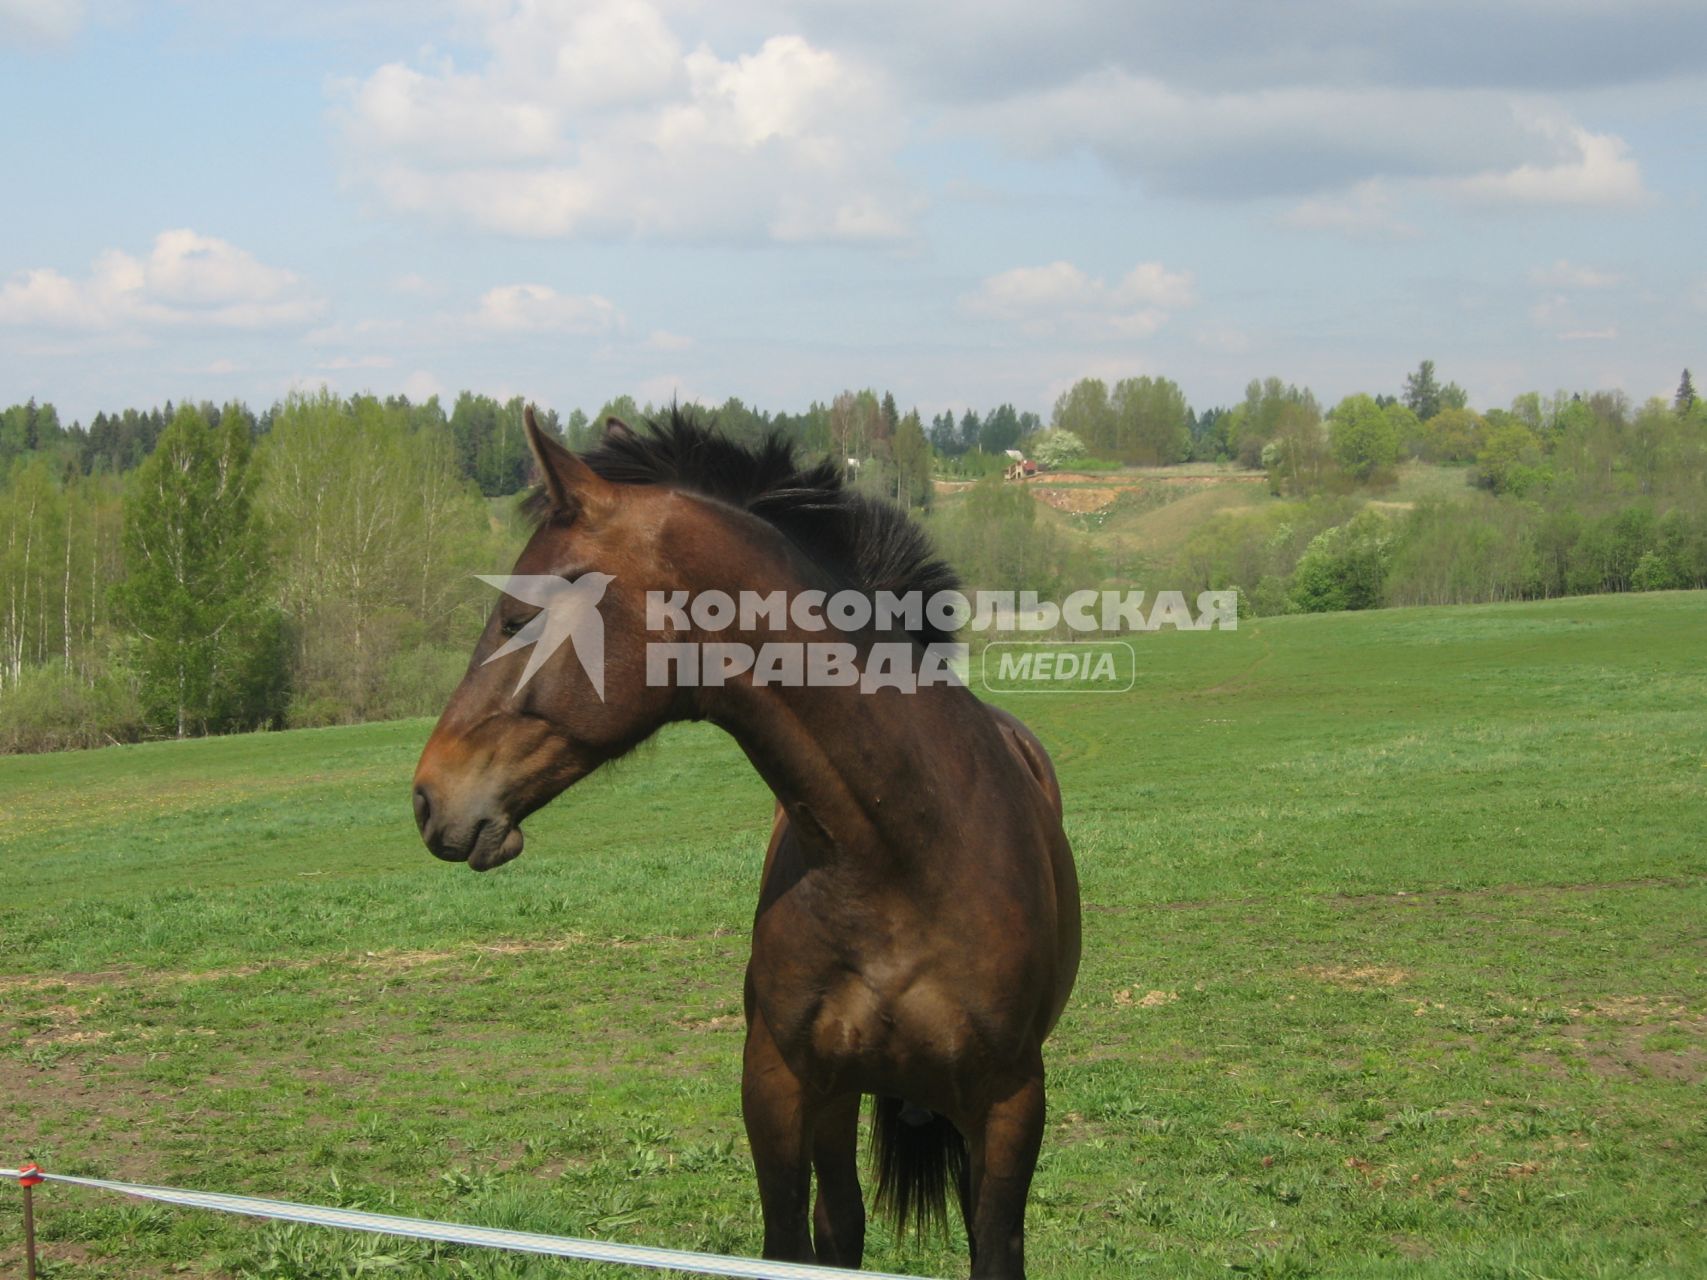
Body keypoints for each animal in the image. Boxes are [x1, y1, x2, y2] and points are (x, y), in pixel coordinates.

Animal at [414, 411, 1078, 1280]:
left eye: (519, 617)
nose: (429, 796)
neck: (902, 856)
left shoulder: (1008, 1103)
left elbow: (995, 1248)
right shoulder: (779, 1084)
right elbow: (792, 1243)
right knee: (841, 1222)